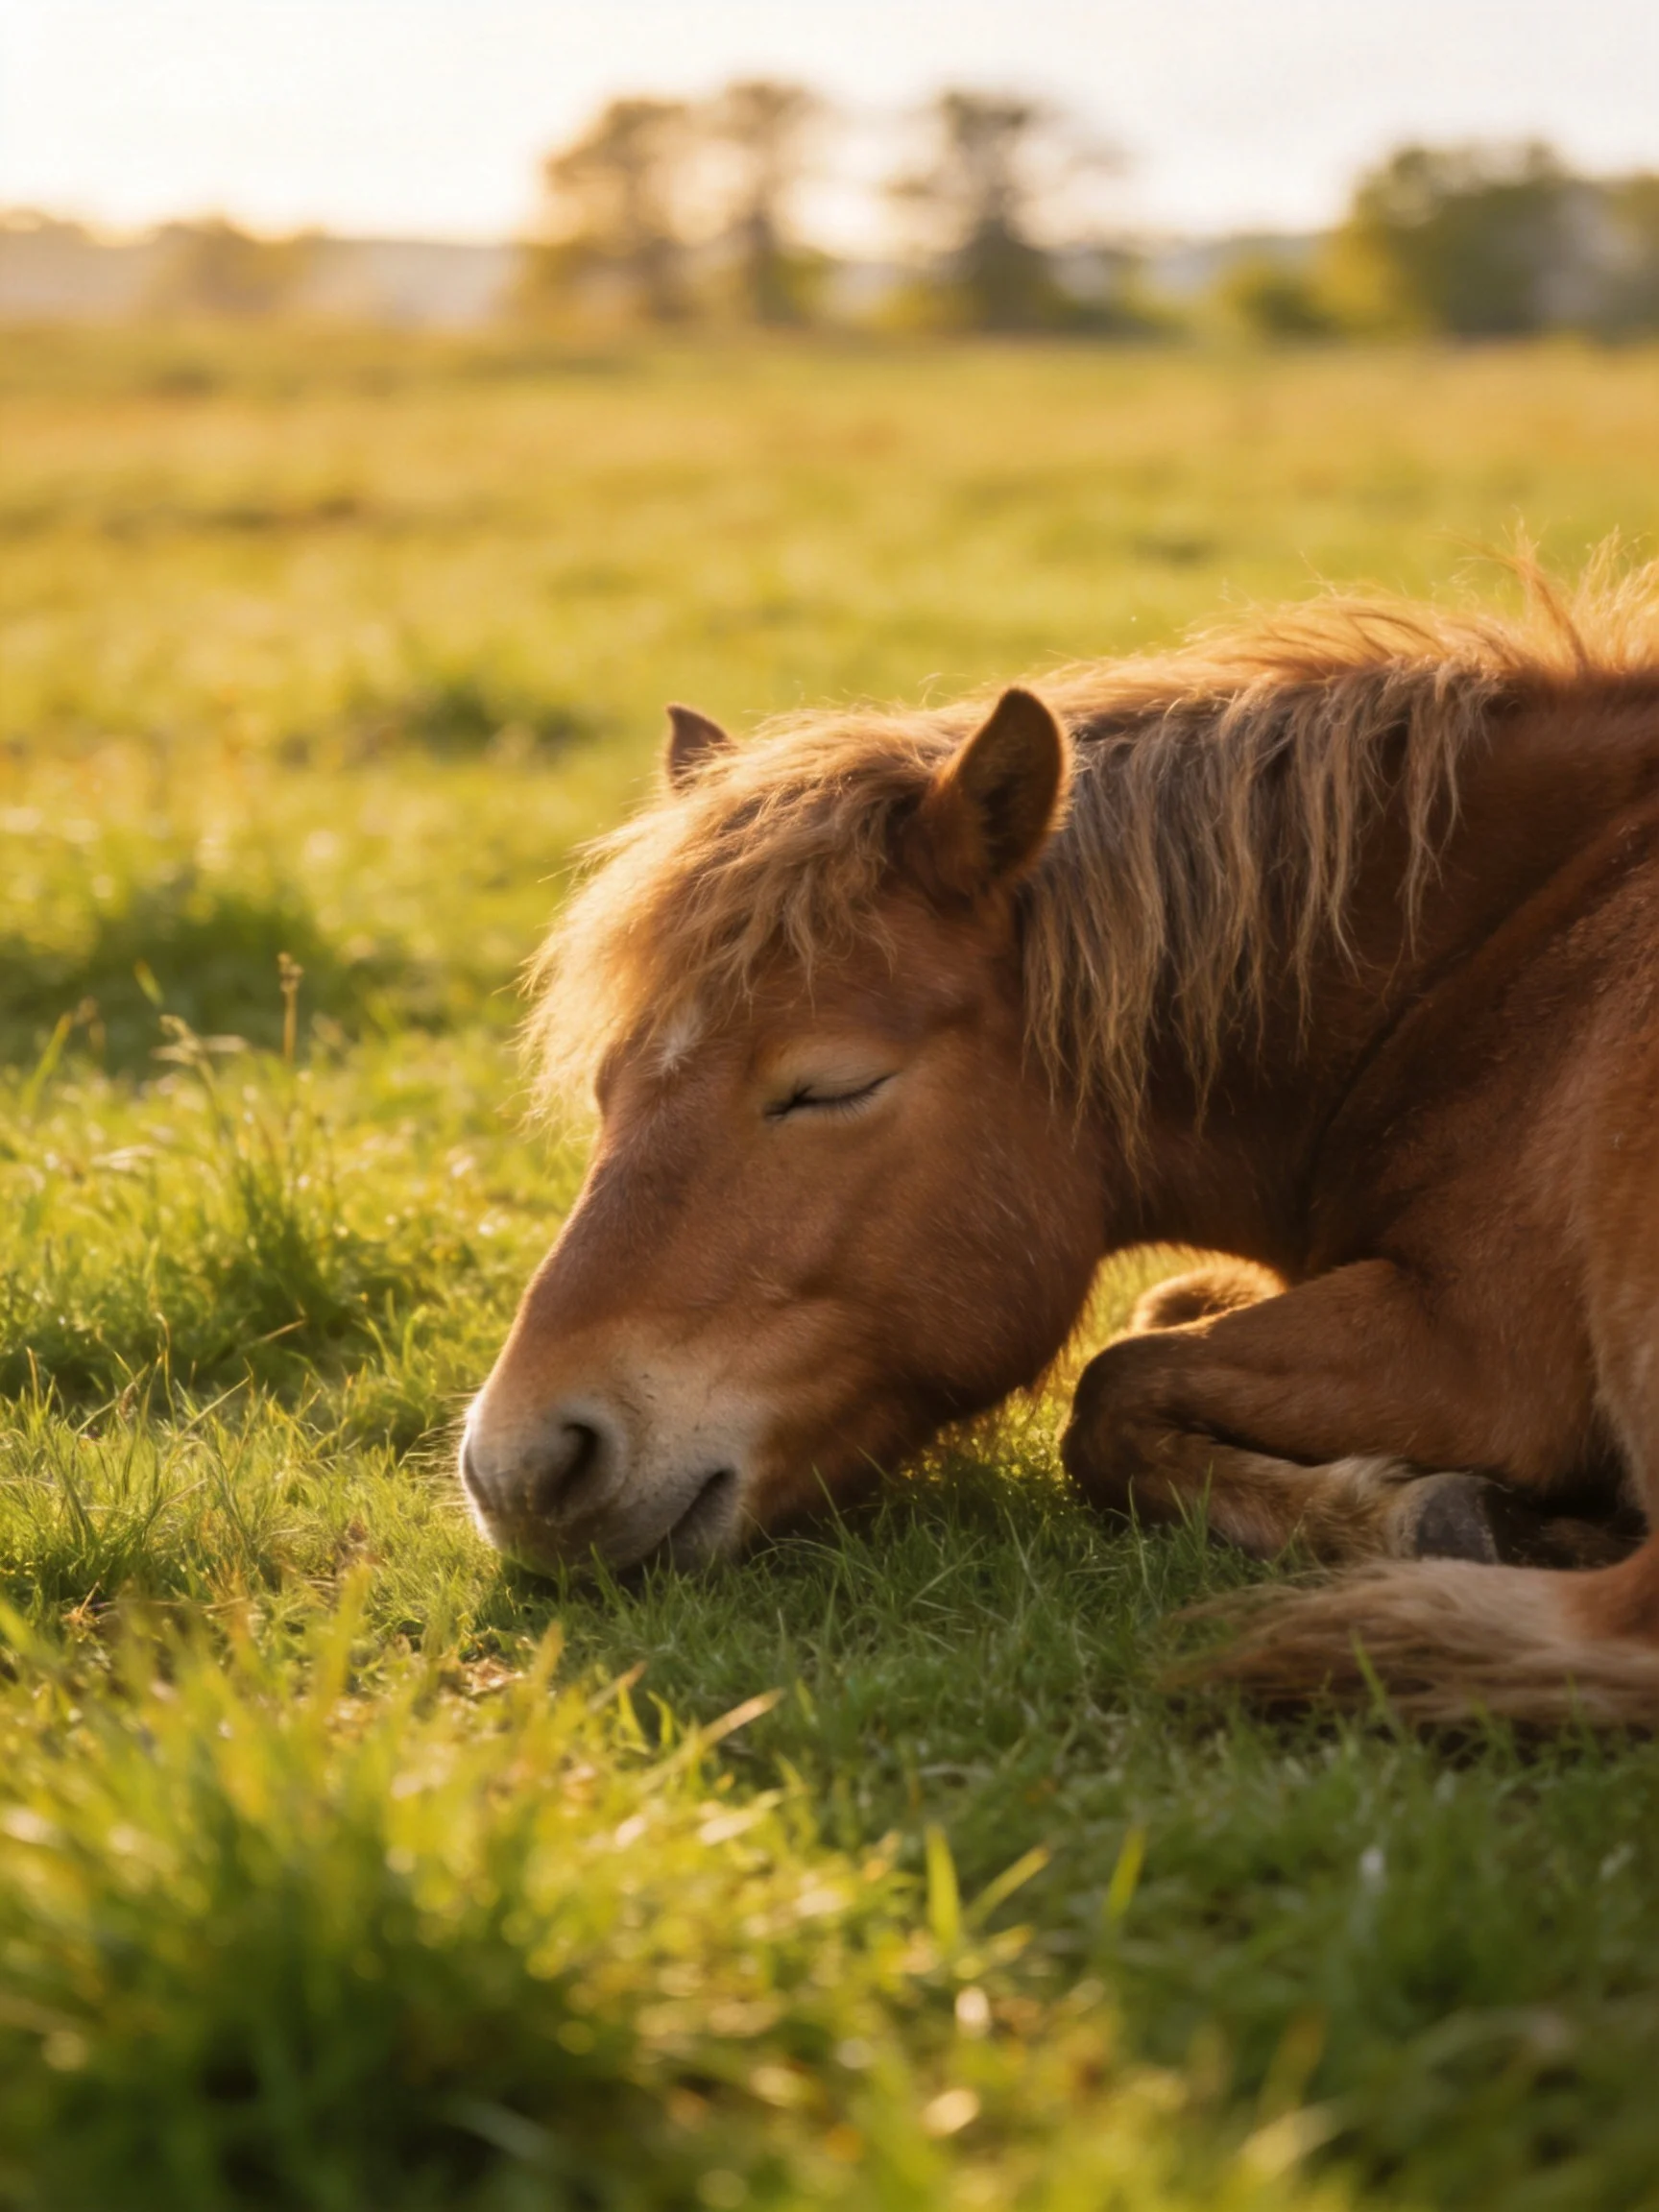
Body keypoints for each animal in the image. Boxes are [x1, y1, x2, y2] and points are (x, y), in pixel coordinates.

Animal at [462, 555, 1659, 1727]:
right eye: (607, 1087)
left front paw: (1427, 1509)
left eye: (831, 1087)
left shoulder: (1482, 1350)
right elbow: (1154, 1321)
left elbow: (1111, 1389)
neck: (1492, 965)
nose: (522, 1469)